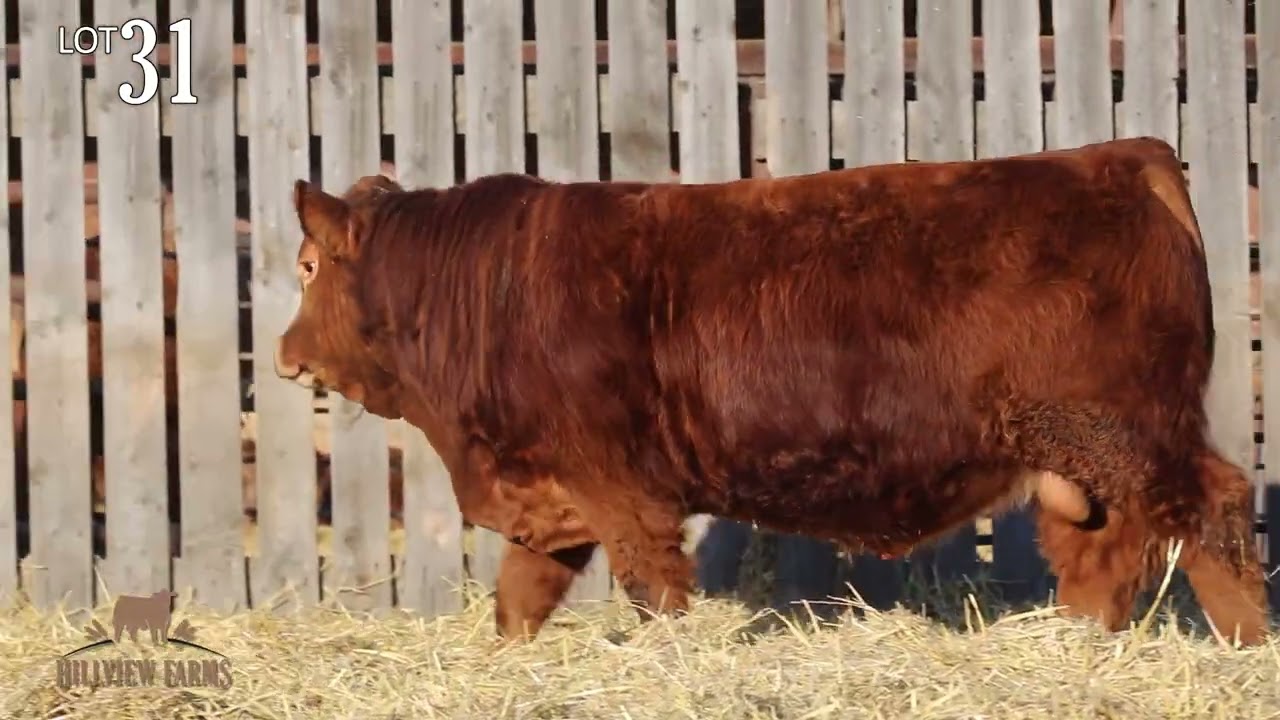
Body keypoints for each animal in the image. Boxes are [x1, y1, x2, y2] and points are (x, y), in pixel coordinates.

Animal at [274, 136, 1269, 646]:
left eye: (309, 265)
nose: (284, 356)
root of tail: (1123, 156)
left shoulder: (623, 491)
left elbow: (654, 592)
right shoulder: (553, 498)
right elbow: (519, 601)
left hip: (1127, 432)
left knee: (1219, 509)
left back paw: (1246, 651)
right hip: (1084, 459)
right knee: (1108, 550)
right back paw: (1078, 644)